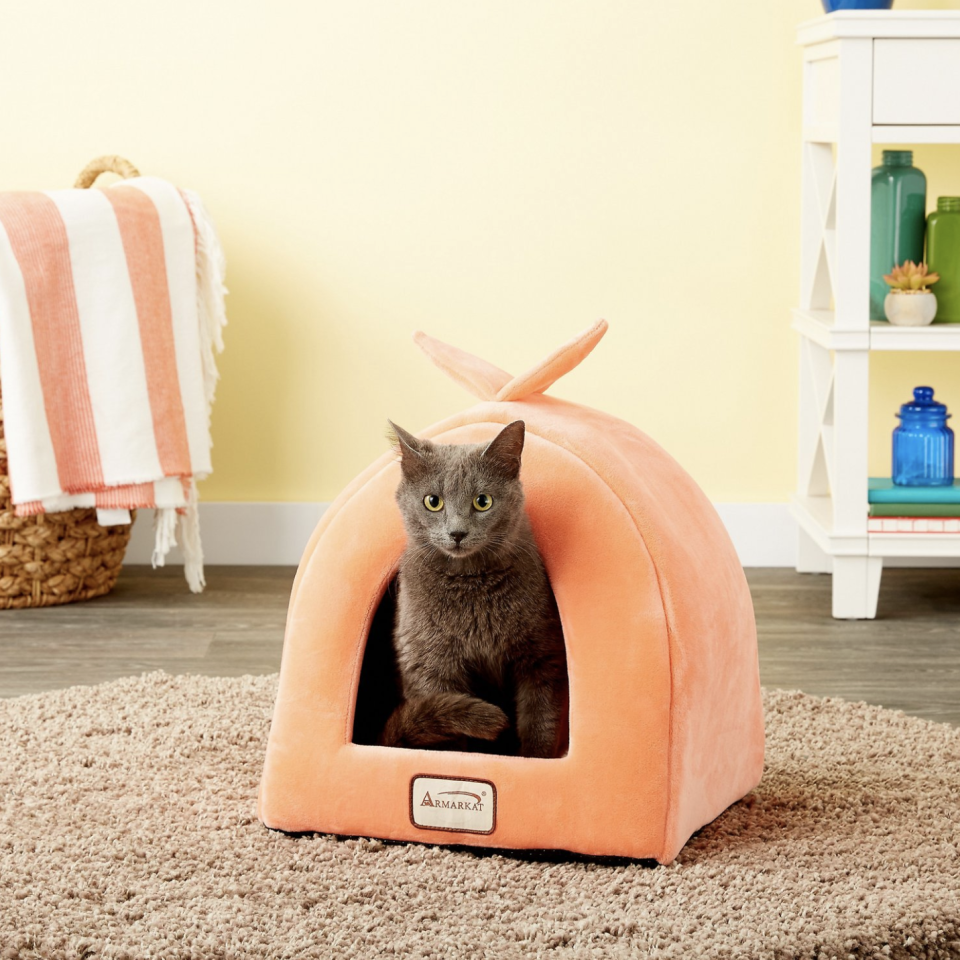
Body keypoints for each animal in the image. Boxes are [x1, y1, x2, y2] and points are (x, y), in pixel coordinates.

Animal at [376, 420, 568, 756]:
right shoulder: (429, 665)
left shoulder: (542, 653)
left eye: (483, 501)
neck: (471, 585)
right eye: (433, 501)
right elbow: (451, 734)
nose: (457, 533)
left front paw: (535, 758)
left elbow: (540, 720)